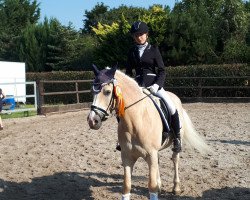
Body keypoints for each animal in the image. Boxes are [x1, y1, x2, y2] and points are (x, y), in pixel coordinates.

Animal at [87, 65, 210, 199]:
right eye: (92, 92)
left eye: (108, 92)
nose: (92, 120)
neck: (136, 121)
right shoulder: (127, 156)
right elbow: (126, 186)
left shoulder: (151, 154)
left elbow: (151, 186)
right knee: (158, 163)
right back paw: (160, 185)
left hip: (176, 142)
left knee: (175, 159)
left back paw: (176, 187)